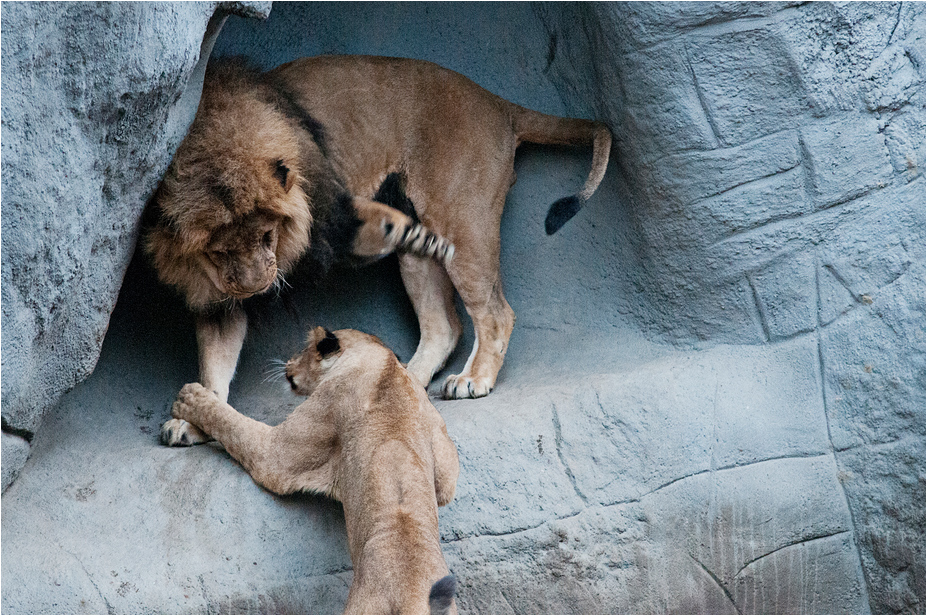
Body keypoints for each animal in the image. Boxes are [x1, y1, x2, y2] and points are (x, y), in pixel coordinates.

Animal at [147, 55, 611, 426]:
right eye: (218, 251)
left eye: (267, 235)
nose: (256, 286)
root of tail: (500, 104)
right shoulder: (215, 291)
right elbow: (214, 357)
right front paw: (193, 419)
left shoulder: (331, 210)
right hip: (420, 256)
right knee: (443, 325)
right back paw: (403, 381)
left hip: (463, 221)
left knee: (497, 312)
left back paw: (473, 379)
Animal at [162, 327, 460, 615]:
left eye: (304, 348)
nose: (288, 362)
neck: (384, 362)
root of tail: (413, 598)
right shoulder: (443, 452)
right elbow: (447, 482)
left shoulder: (279, 454)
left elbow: (231, 424)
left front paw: (190, 398)